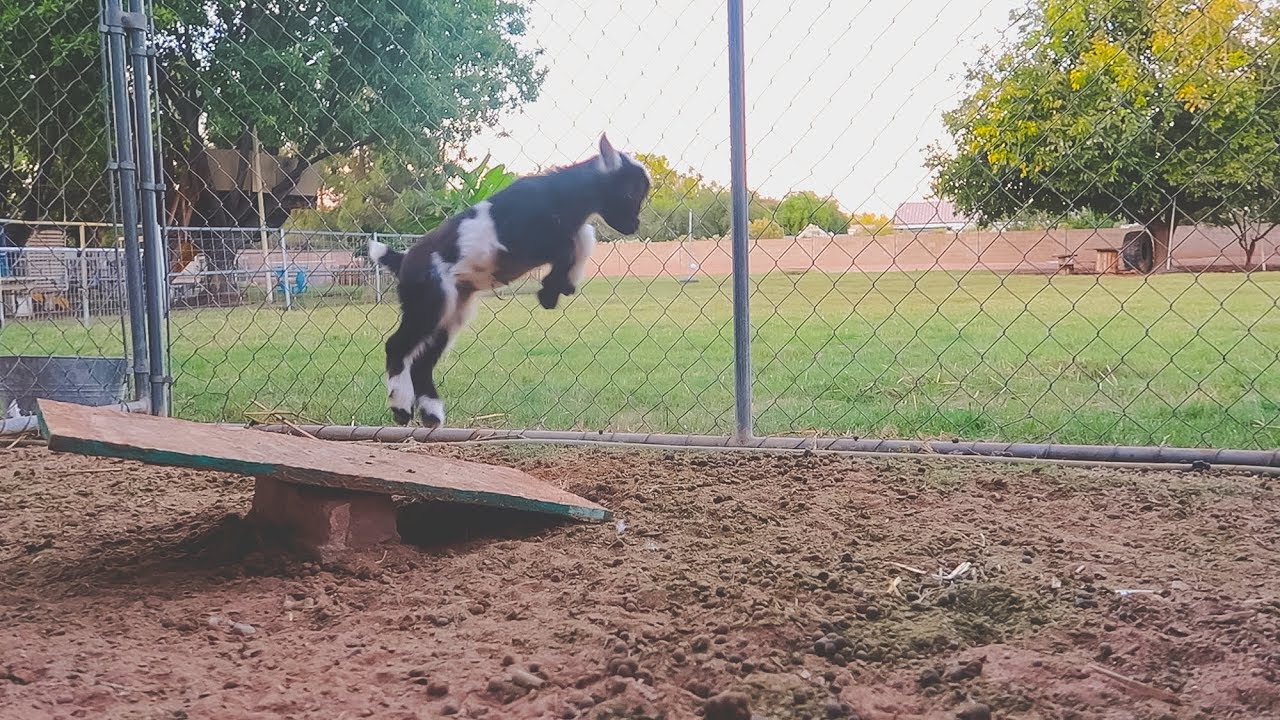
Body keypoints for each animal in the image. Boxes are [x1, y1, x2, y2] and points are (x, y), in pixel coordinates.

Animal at [368, 133, 652, 427]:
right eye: (629, 193)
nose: (634, 226)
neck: (561, 195)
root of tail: (403, 261)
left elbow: (584, 238)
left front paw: (562, 286)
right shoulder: (518, 240)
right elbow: (569, 245)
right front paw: (549, 291)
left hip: (452, 312)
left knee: (422, 362)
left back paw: (431, 413)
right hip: (429, 302)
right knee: (396, 346)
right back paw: (401, 407)